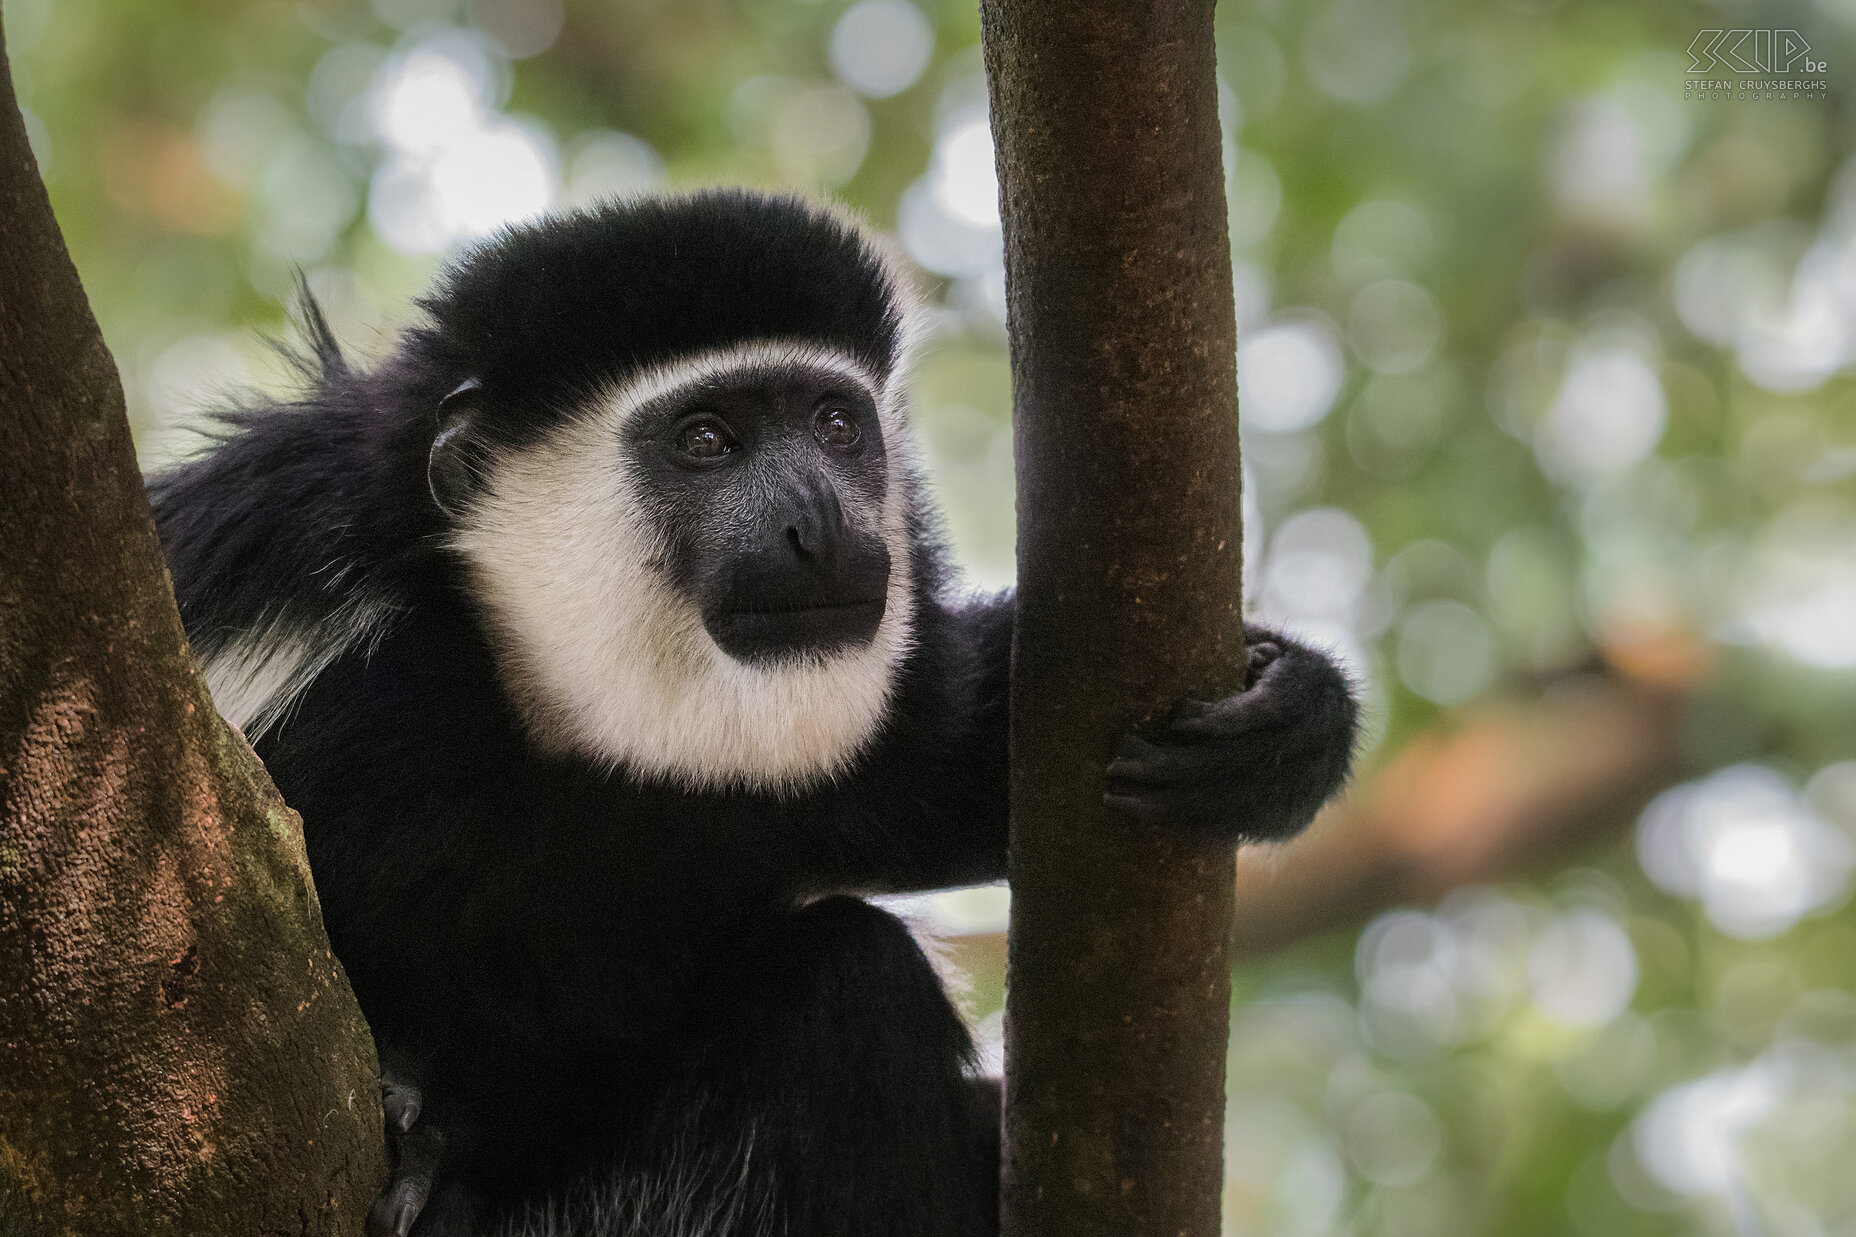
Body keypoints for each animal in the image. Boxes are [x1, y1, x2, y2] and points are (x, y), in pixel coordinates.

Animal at [152, 190, 1358, 1233]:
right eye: (705, 440)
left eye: (833, 424)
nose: (821, 524)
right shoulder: (341, 660)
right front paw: (413, 1109)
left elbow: (969, 771)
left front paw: (1287, 712)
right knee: (851, 985)